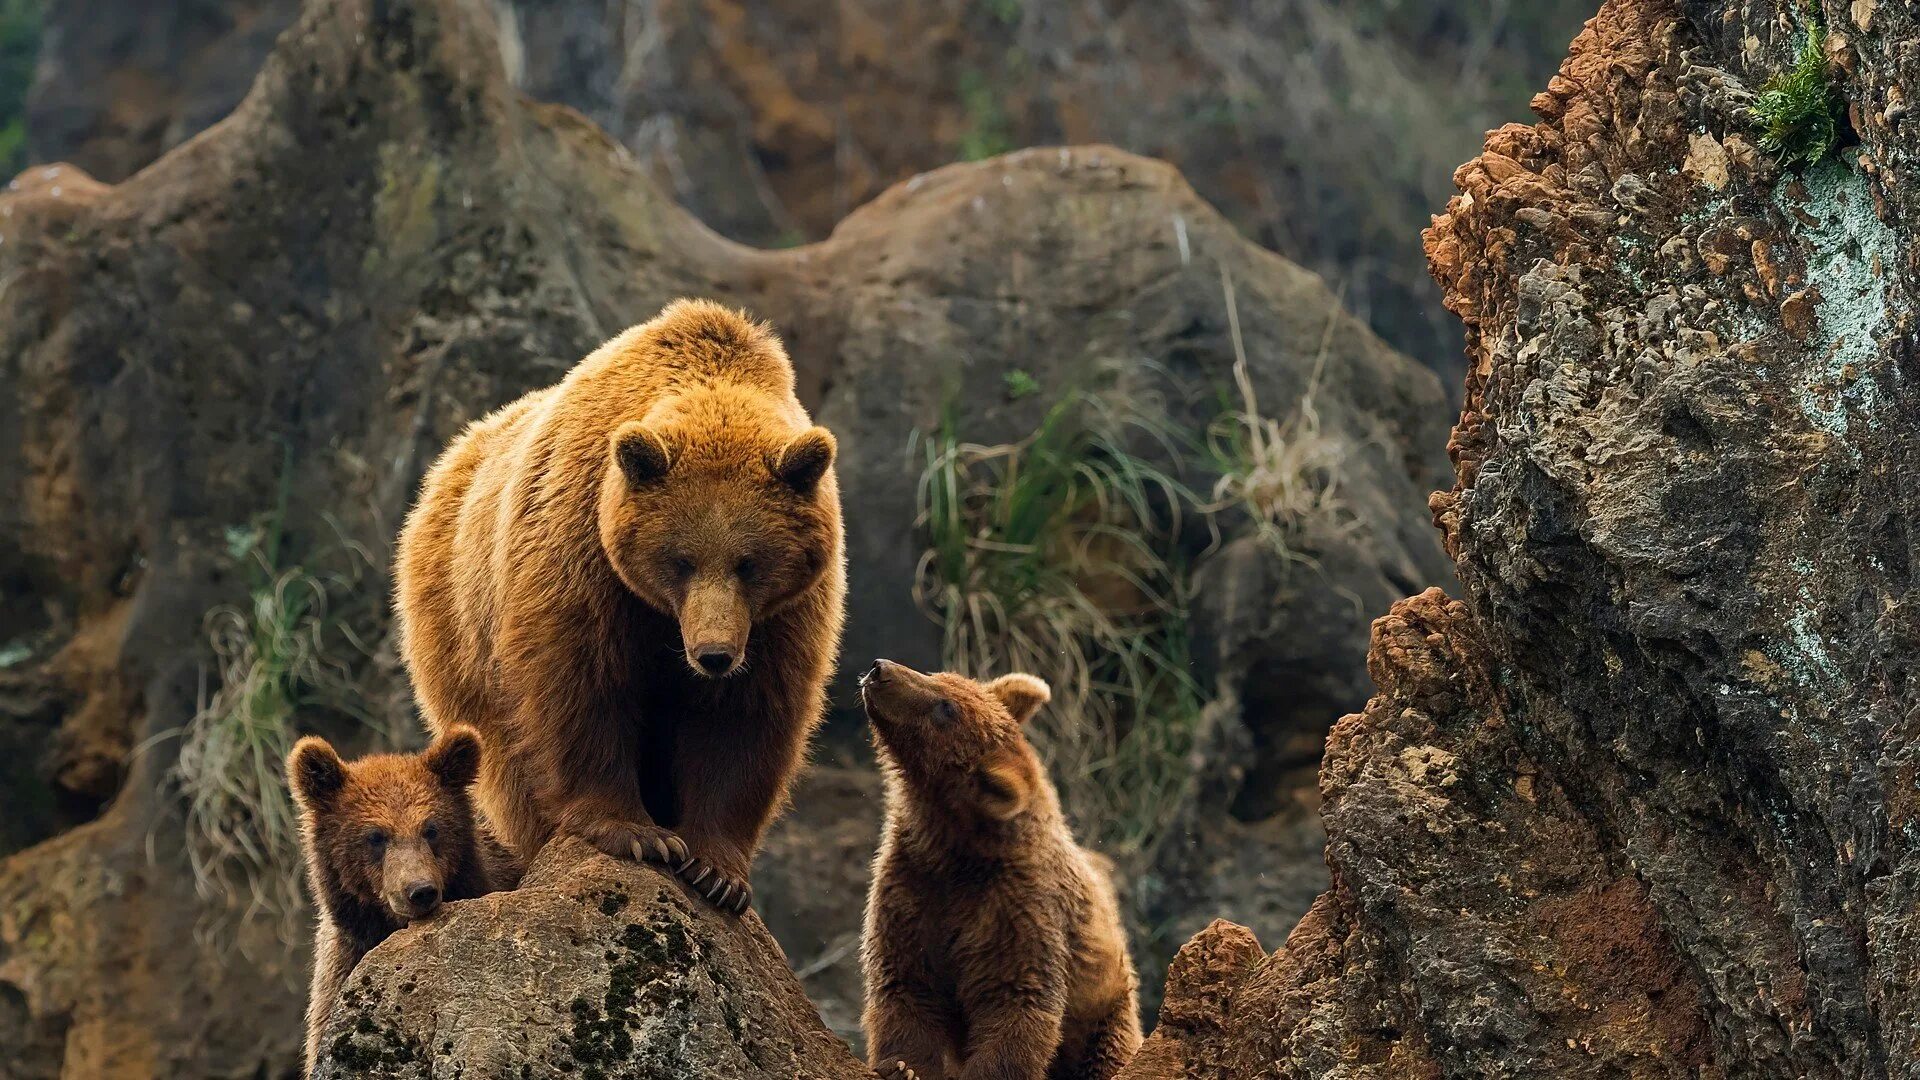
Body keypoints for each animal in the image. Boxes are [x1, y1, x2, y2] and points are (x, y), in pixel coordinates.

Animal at [389, 295, 840, 907]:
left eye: (750, 563)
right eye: (680, 559)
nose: (713, 655)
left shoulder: (783, 617)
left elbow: (745, 716)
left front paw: (716, 869)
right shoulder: (581, 554)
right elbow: (581, 683)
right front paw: (638, 835)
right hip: (460, 629)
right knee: (504, 756)